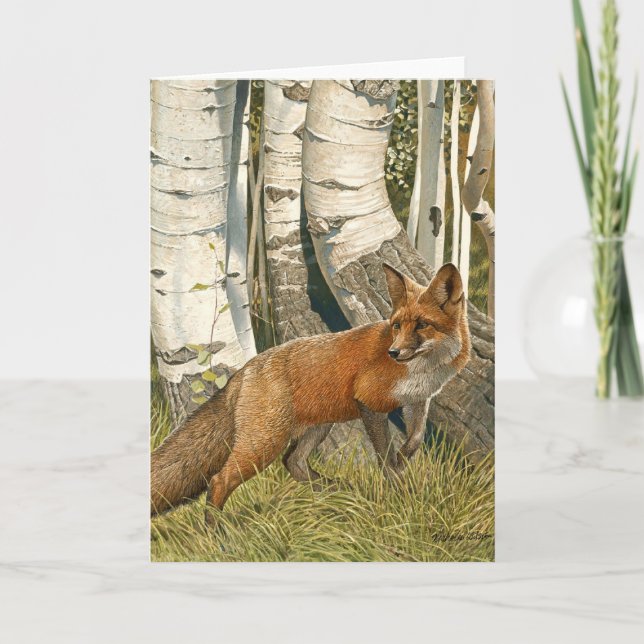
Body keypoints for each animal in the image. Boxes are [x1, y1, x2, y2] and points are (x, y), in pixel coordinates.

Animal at [151, 262, 471, 524]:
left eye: (422, 325)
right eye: (396, 326)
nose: (393, 352)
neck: (424, 369)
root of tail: (243, 371)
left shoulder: (418, 400)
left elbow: (415, 439)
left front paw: (405, 461)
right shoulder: (370, 403)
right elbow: (385, 458)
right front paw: (397, 490)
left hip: (317, 427)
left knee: (292, 463)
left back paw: (339, 491)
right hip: (265, 442)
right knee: (219, 481)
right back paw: (219, 537)